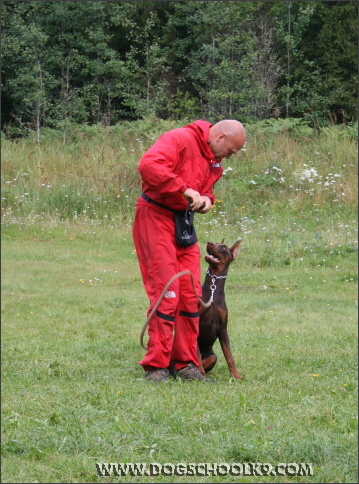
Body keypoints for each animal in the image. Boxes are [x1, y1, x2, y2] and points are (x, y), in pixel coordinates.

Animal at [198, 240, 243, 380]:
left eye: (223, 247)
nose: (209, 243)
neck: (214, 288)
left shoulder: (223, 328)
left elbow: (229, 356)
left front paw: (236, 375)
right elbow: (195, 353)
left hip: (212, 356)